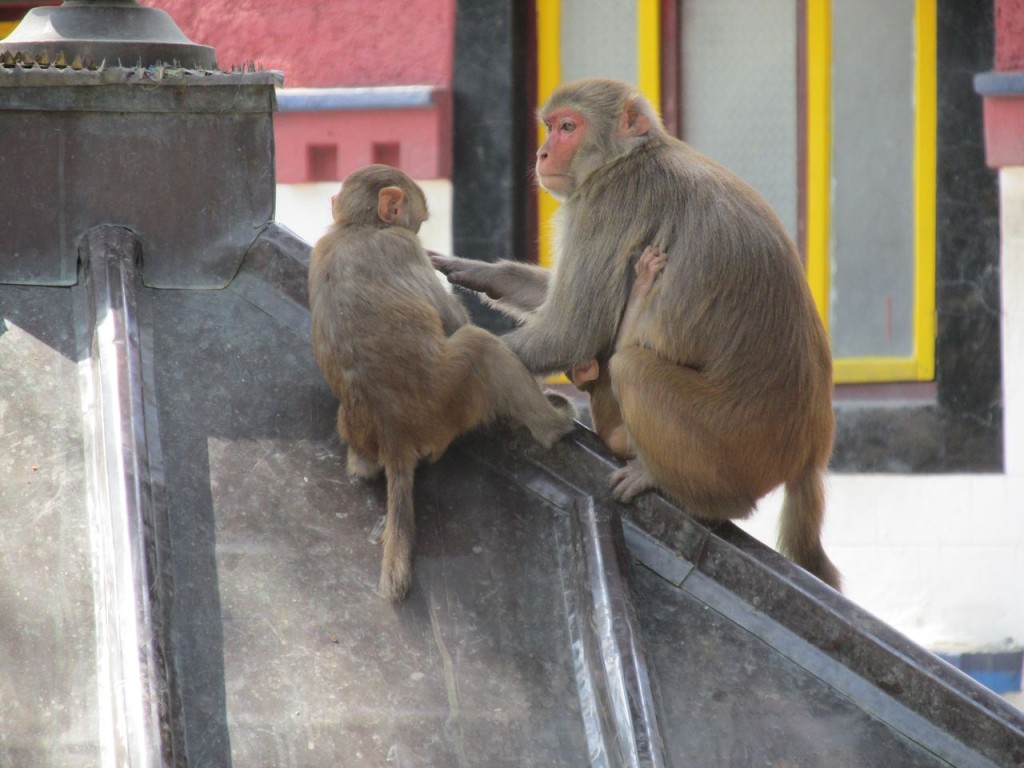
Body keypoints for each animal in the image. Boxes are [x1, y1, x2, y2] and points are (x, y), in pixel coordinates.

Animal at [309, 164, 577, 602]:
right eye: (416, 222)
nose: (417, 228)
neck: (355, 228)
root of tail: (394, 436)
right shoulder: (402, 247)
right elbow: (452, 323)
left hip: (363, 429)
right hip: (449, 399)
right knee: (479, 346)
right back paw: (553, 426)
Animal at [431, 79, 841, 590]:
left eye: (567, 127)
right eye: (549, 127)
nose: (543, 153)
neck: (627, 157)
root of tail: (810, 449)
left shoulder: (609, 203)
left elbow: (573, 328)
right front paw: (477, 272)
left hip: (733, 445)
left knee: (632, 368)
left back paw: (688, 492)